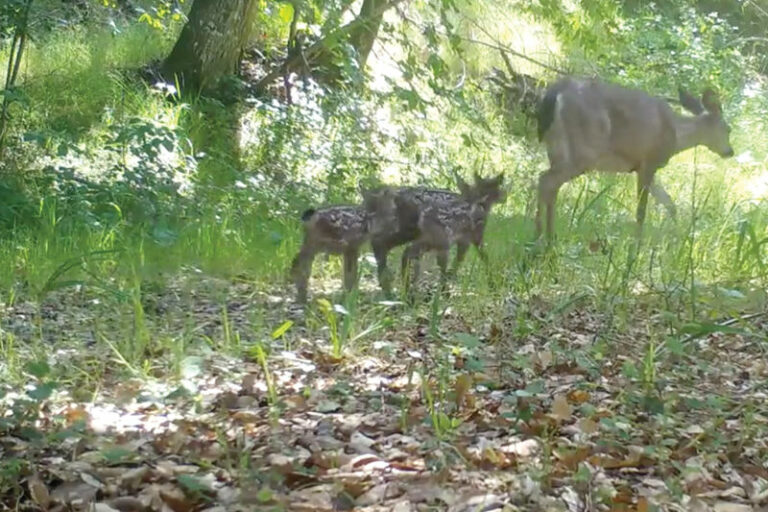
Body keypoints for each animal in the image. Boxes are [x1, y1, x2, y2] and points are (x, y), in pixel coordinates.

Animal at [536, 77, 732, 239]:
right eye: (728, 129)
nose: (730, 151)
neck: (677, 134)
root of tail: (556, 92)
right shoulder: (648, 162)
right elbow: (641, 212)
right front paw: (635, 249)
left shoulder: (642, 167)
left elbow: (670, 204)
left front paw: (676, 240)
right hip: (584, 152)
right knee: (546, 181)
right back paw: (540, 238)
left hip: (556, 148)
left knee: (549, 186)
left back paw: (548, 238)